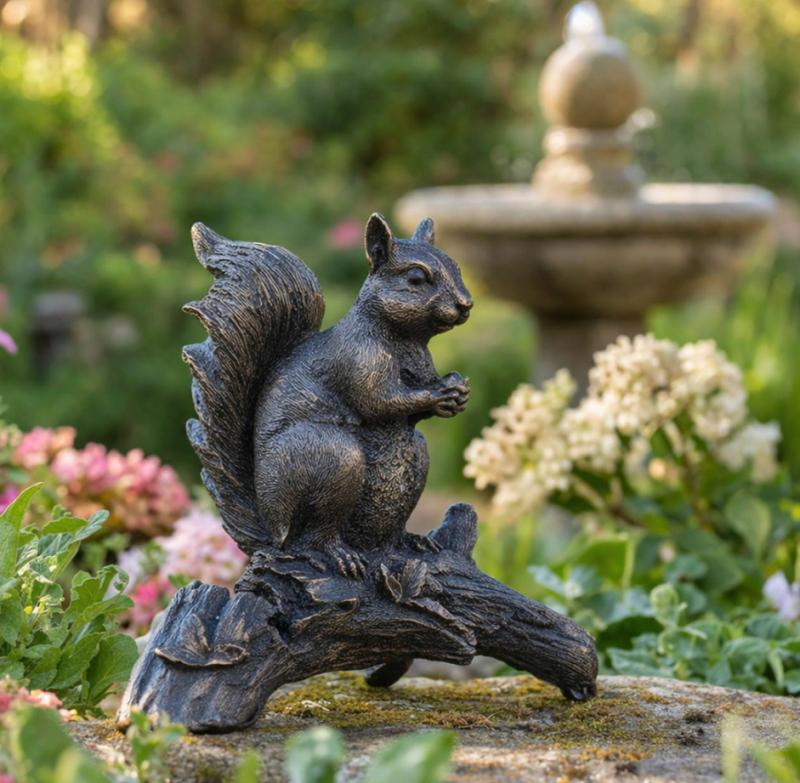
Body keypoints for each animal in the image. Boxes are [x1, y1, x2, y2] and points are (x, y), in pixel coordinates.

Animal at [183, 213, 473, 578]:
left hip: (416, 459)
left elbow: (411, 413)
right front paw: (439, 393)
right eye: (416, 278)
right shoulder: (357, 357)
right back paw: (340, 554)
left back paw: (411, 542)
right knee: (318, 535)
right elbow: (378, 401)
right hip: (332, 458)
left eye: (457, 267)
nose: (466, 305)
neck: (406, 340)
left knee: (388, 534)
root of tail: (271, 530)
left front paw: (457, 391)